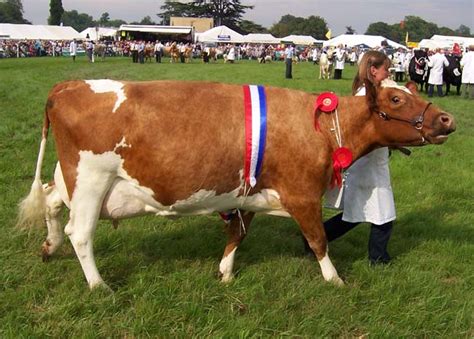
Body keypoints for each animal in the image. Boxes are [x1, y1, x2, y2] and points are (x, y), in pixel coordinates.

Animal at [18, 79, 456, 290]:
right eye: (396, 100)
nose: (447, 119)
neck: (322, 126)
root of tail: (68, 84)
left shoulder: (250, 190)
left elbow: (238, 233)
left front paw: (225, 271)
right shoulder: (303, 193)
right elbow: (318, 240)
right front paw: (335, 279)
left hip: (72, 178)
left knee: (51, 202)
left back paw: (48, 247)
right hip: (91, 180)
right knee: (80, 233)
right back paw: (98, 285)